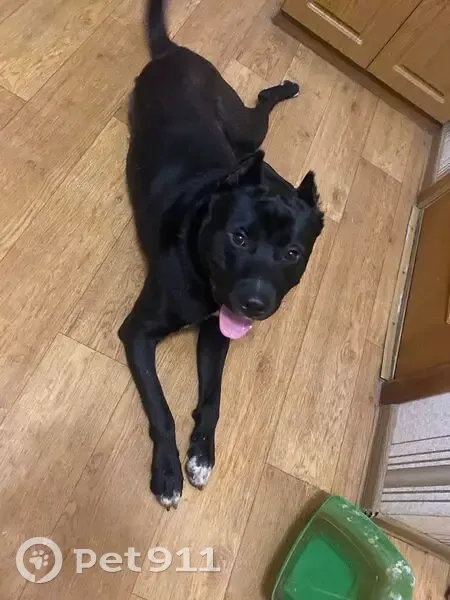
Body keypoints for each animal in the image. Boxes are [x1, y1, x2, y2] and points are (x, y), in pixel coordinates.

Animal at [119, 0, 324, 509]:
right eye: (239, 238)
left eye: (293, 252)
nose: (254, 304)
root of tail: (174, 52)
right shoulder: (137, 334)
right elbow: (162, 409)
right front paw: (168, 473)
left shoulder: (216, 336)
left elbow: (212, 399)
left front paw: (202, 456)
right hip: (244, 129)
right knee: (260, 112)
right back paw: (283, 90)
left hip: (242, 134)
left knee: (261, 142)